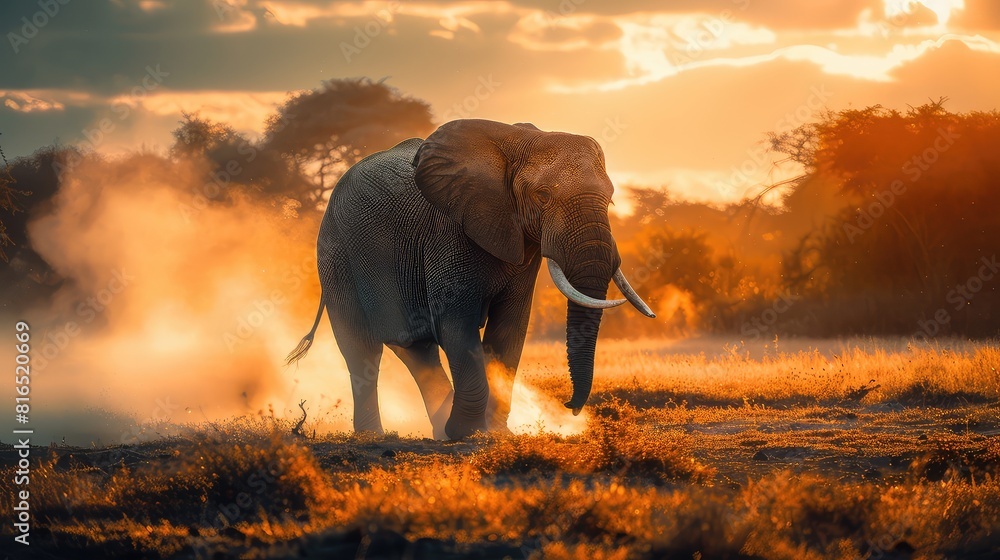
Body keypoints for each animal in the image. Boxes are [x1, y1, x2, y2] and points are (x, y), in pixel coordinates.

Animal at [286, 119, 654, 440]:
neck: (517, 143)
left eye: (610, 197)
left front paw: (495, 433)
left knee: (416, 351)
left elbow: (510, 328)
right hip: (336, 255)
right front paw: (468, 433)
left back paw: (439, 428)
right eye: (543, 195)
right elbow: (455, 324)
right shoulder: (447, 232)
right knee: (362, 350)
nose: (570, 406)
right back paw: (377, 435)